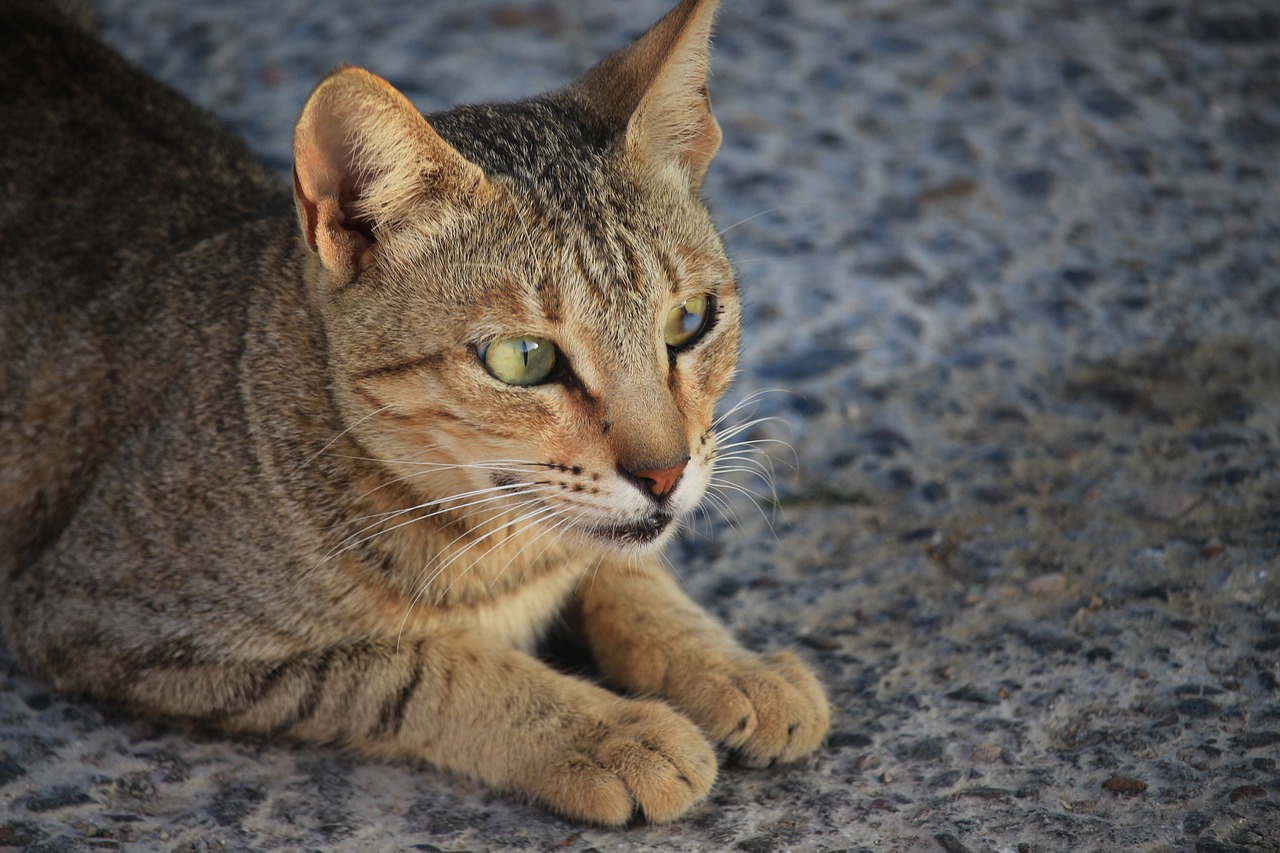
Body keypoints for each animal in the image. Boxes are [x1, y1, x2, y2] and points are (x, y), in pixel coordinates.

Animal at [0, 0, 829, 824]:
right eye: (523, 359)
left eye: (690, 320)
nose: (665, 472)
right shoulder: (100, 619)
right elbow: (420, 665)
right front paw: (606, 731)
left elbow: (626, 571)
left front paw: (731, 665)